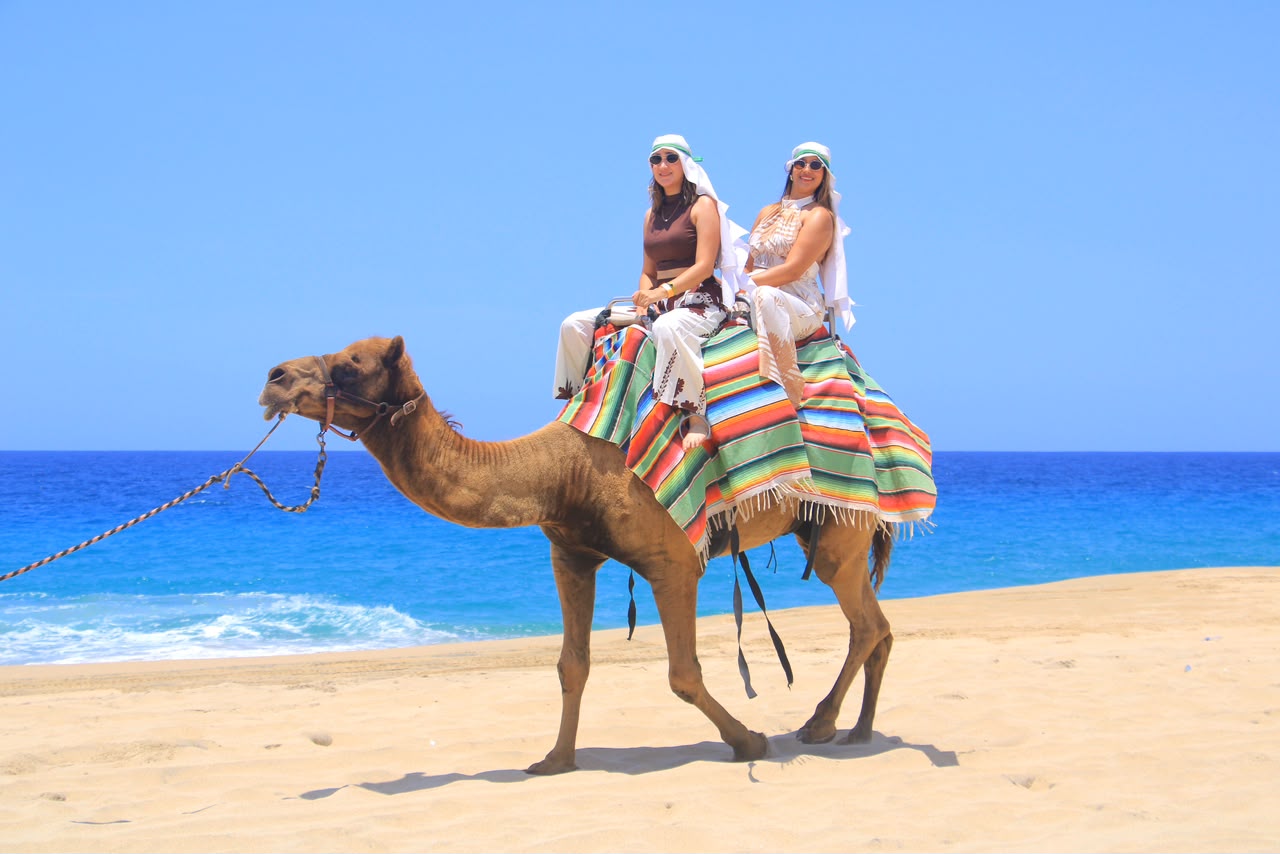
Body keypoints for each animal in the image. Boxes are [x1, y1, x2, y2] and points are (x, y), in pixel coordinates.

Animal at [259, 335, 895, 775]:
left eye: (351, 363)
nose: (273, 377)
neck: (565, 471)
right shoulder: (571, 557)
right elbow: (572, 665)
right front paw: (555, 760)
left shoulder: (672, 563)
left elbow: (683, 674)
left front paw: (748, 742)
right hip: (821, 528)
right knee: (878, 625)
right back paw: (860, 730)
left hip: (845, 522)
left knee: (863, 622)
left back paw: (820, 725)